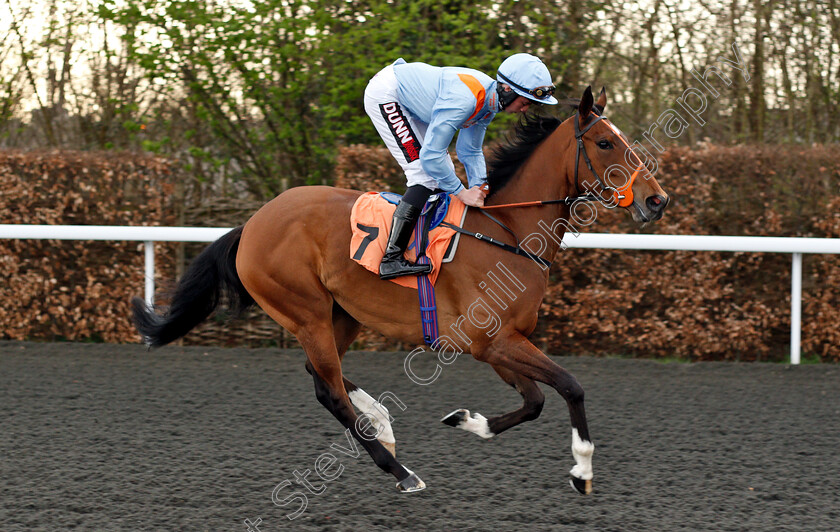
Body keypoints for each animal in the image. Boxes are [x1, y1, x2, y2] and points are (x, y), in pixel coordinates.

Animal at [131, 86, 668, 494]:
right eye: (605, 143)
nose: (656, 200)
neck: (508, 233)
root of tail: (252, 223)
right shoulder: (492, 341)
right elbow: (570, 385)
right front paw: (582, 469)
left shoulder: (500, 344)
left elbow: (535, 400)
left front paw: (467, 421)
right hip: (305, 312)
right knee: (329, 392)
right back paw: (400, 470)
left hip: (341, 313)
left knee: (320, 375)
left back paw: (384, 423)